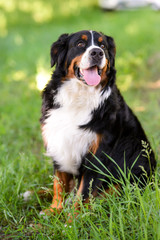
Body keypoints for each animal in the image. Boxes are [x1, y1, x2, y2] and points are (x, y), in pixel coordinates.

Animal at [39, 30, 156, 219]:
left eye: (103, 46)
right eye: (80, 44)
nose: (97, 53)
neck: (79, 96)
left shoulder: (99, 152)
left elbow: (84, 191)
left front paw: (72, 220)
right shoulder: (58, 142)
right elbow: (59, 183)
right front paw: (54, 210)